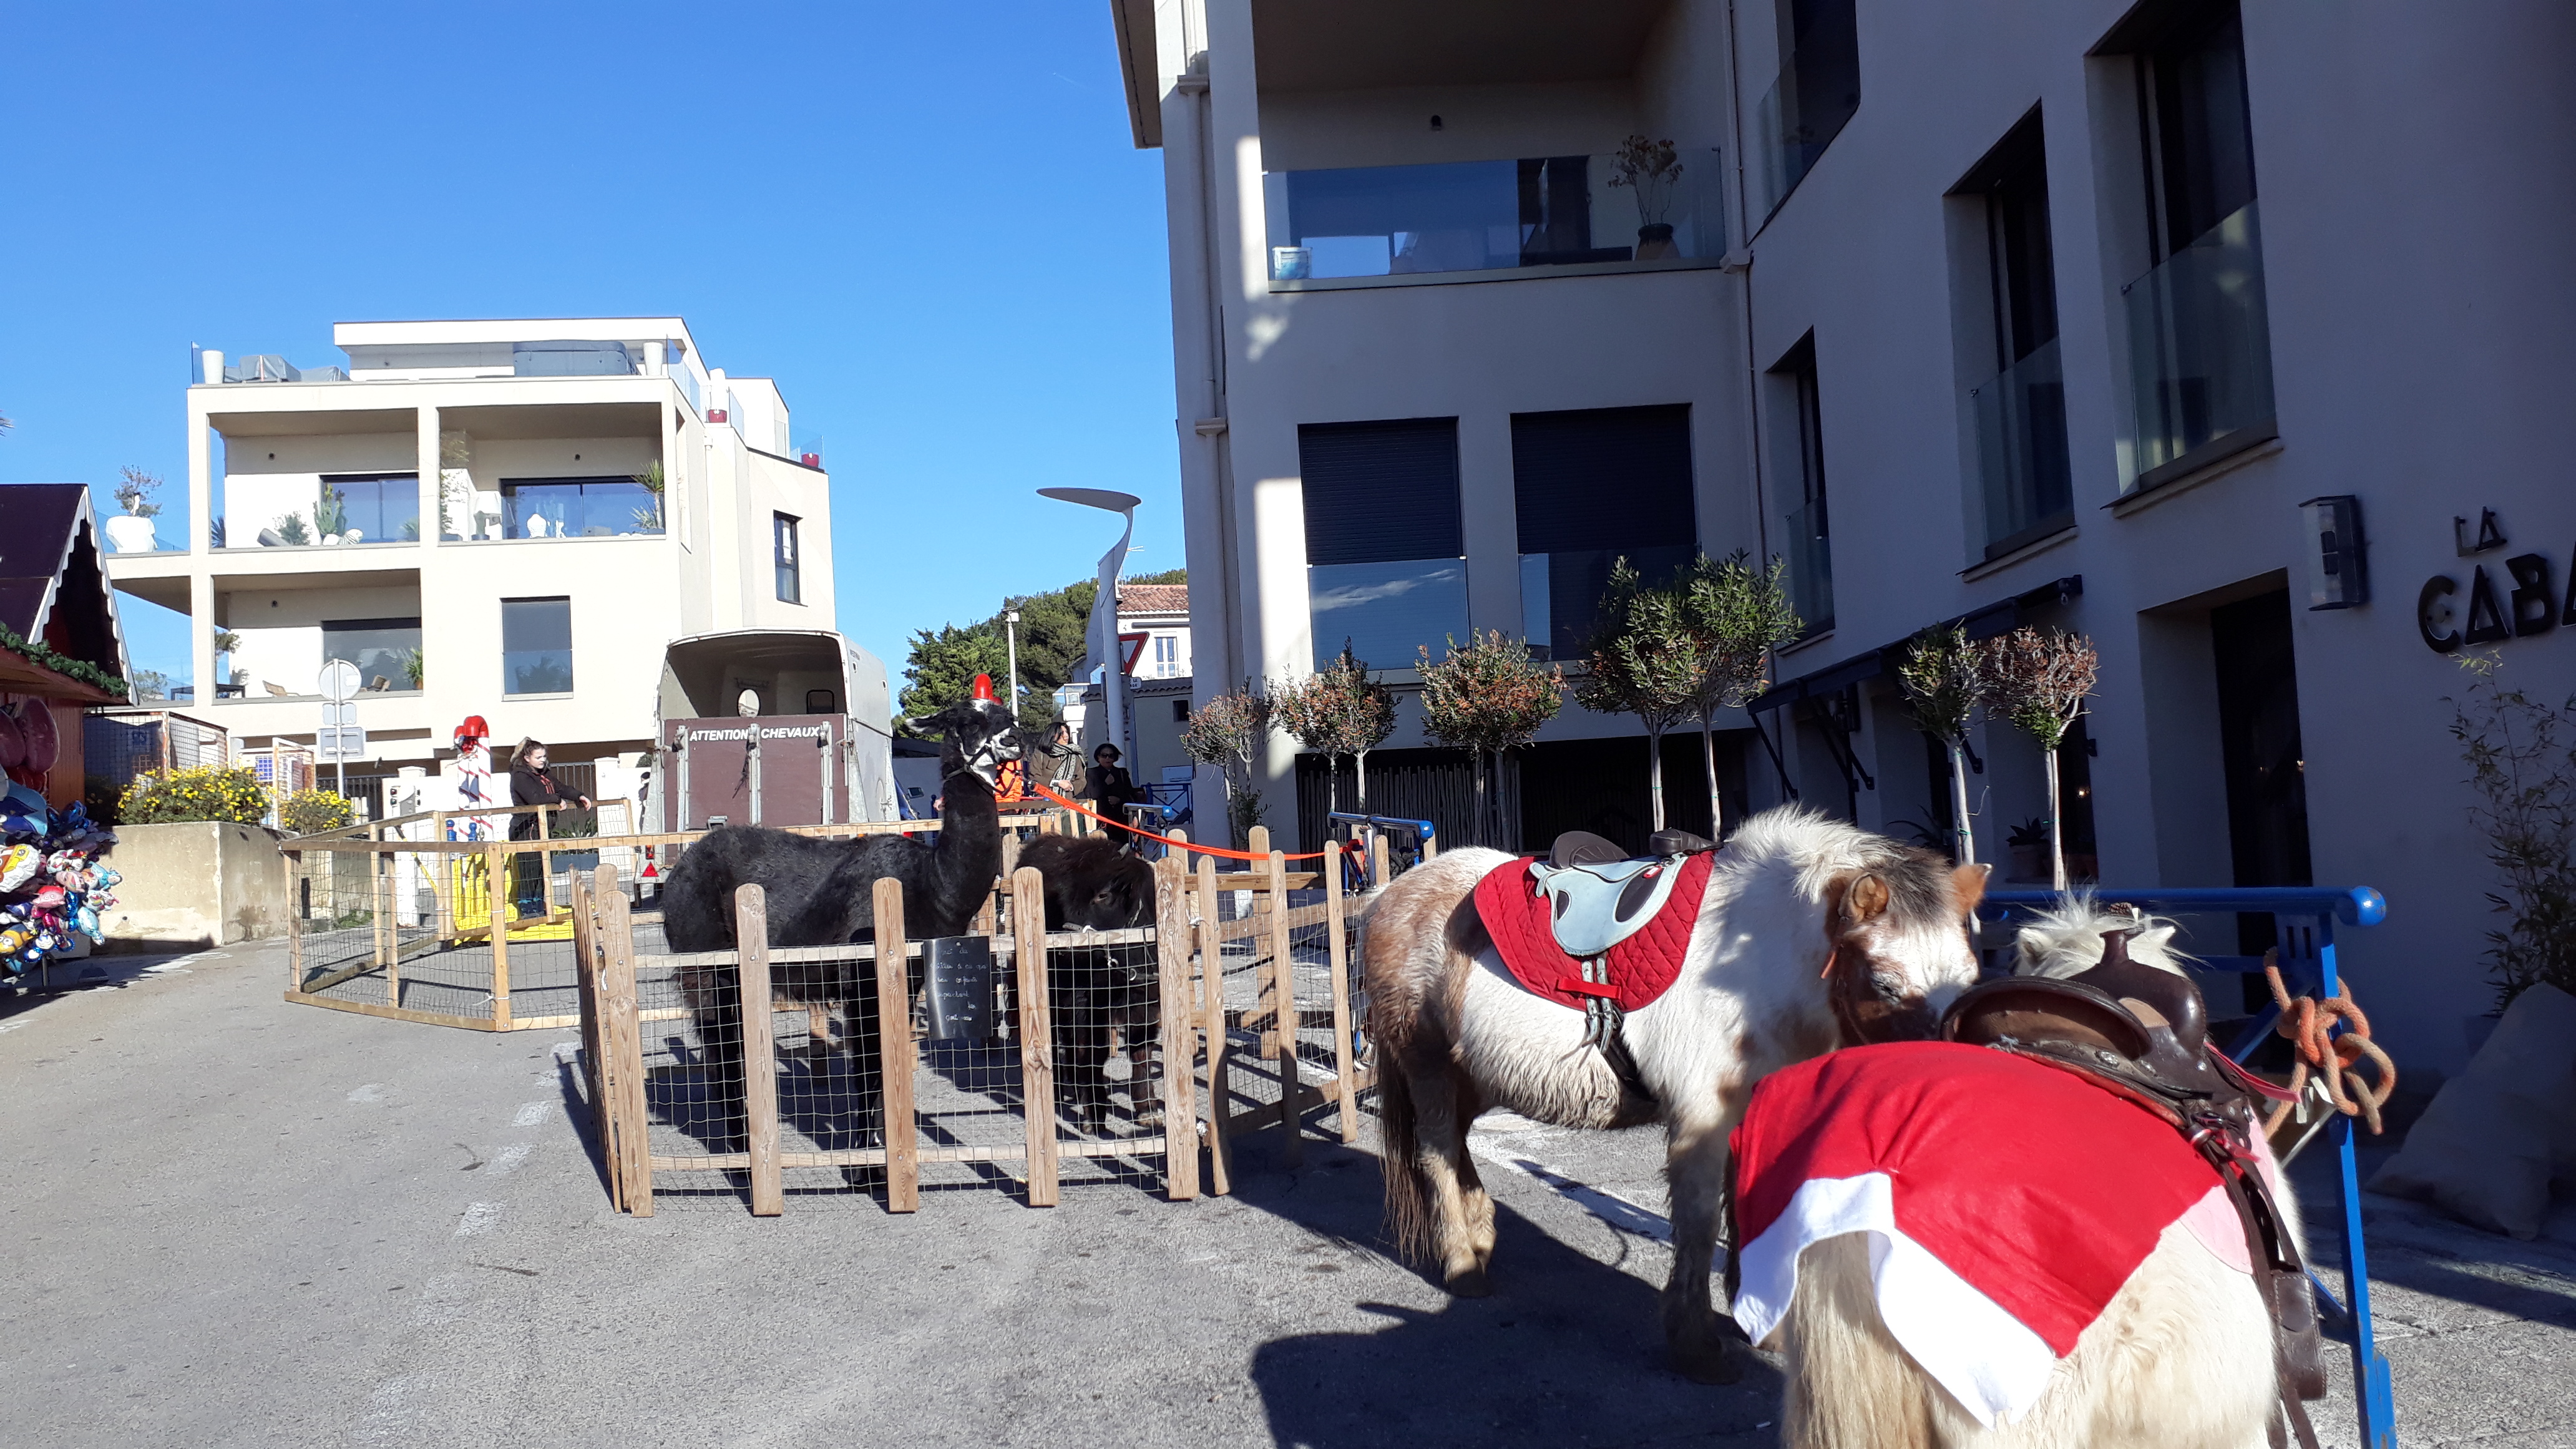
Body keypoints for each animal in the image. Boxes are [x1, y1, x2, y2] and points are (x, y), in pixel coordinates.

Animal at [1361, 805, 1988, 1382]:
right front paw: (1696, 1344)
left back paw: (1482, 1235)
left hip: (1474, 1072)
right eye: (1884, 984)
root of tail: (1391, 891)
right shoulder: (1702, 1116)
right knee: (1436, 1151)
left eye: (1969, 979)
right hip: (1427, 1064)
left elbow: (1745, 1209)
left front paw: (1758, 1322)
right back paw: (1463, 1264)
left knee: (1458, 1142)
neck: (1759, 965)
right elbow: (1699, 1222)